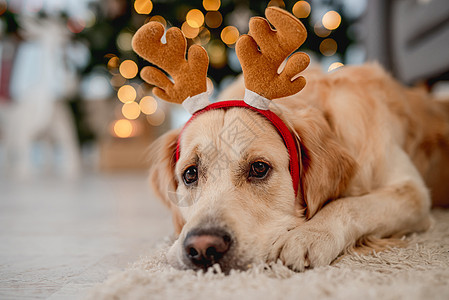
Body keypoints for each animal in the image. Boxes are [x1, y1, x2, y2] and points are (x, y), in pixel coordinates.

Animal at [133, 7, 448, 274]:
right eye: (190, 174)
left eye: (259, 168)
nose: (202, 248)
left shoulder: (413, 193)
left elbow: (351, 204)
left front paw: (309, 235)